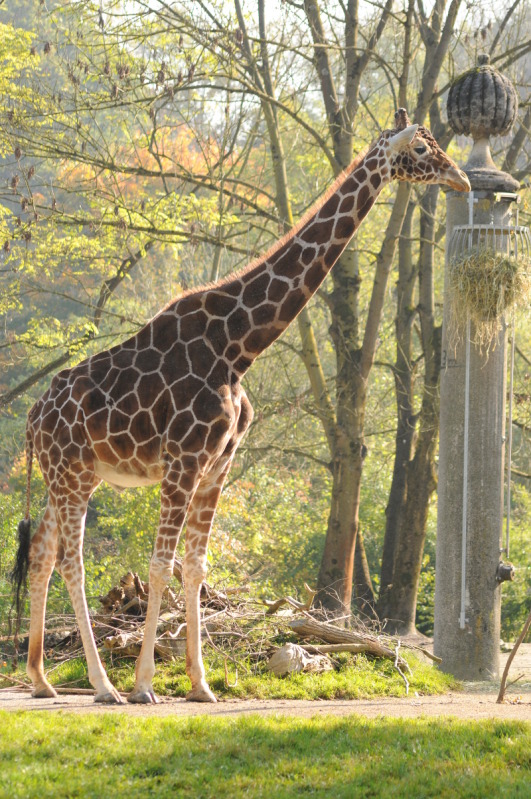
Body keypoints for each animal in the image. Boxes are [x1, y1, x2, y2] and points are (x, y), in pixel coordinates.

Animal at [13, 109, 470, 704]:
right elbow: (159, 566)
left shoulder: (217, 466)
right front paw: (145, 685)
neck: (240, 345)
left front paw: (201, 685)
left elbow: (194, 567)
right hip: (69, 474)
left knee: (43, 553)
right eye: (420, 148)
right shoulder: (183, 461)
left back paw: (42, 679)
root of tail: (32, 417)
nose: (462, 179)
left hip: (74, 475)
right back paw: (103, 685)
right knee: (72, 561)